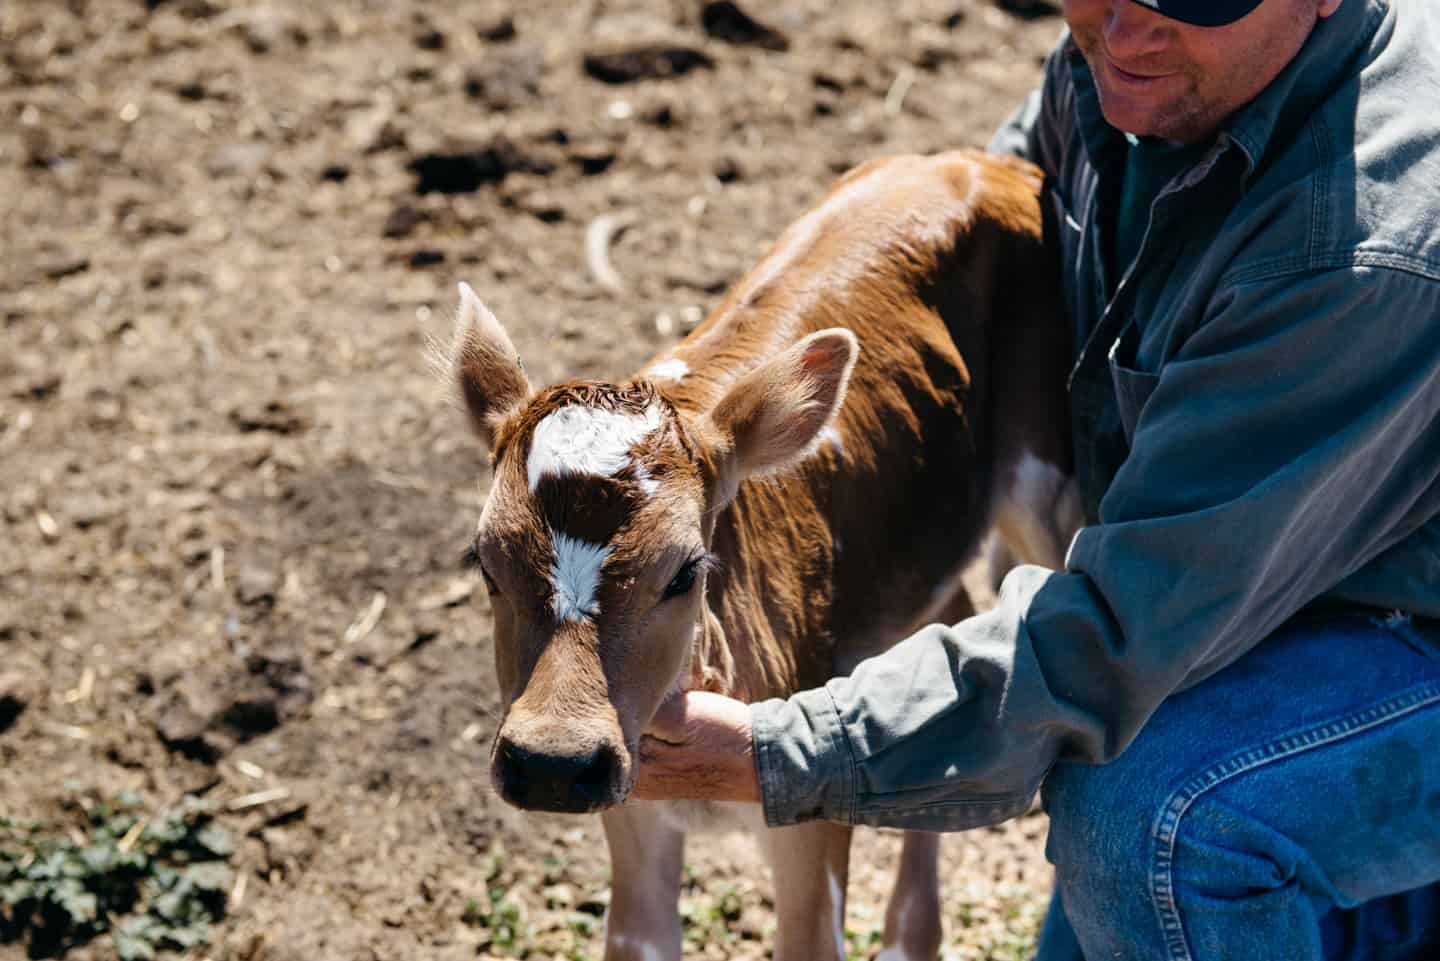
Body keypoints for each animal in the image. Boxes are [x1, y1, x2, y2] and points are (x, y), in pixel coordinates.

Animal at [449, 148, 1082, 961]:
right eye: (484, 560)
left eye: (685, 571)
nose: (551, 762)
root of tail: (980, 160)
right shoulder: (630, 804)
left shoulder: (814, 817)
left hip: (1047, 479)